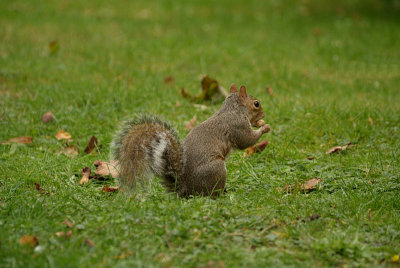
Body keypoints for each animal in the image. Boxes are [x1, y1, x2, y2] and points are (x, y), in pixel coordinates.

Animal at [111, 84, 270, 197]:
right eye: (256, 103)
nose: (264, 115)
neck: (234, 109)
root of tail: (186, 188)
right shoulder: (237, 126)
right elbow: (246, 140)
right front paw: (264, 128)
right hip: (216, 169)